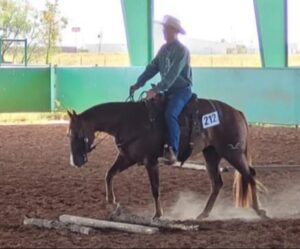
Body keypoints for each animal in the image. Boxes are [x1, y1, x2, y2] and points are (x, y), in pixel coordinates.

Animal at [67, 95, 268, 220]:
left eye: (77, 134)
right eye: (69, 134)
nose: (75, 161)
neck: (127, 120)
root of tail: (237, 112)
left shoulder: (150, 161)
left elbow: (155, 188)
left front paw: (158, 214)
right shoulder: (127, 158)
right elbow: (109, 174)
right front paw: (112, 202)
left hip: (232, 152)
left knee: (249, 174)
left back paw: (260, 211)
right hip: (212, 154)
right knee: (217, 183)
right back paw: (203, 214)